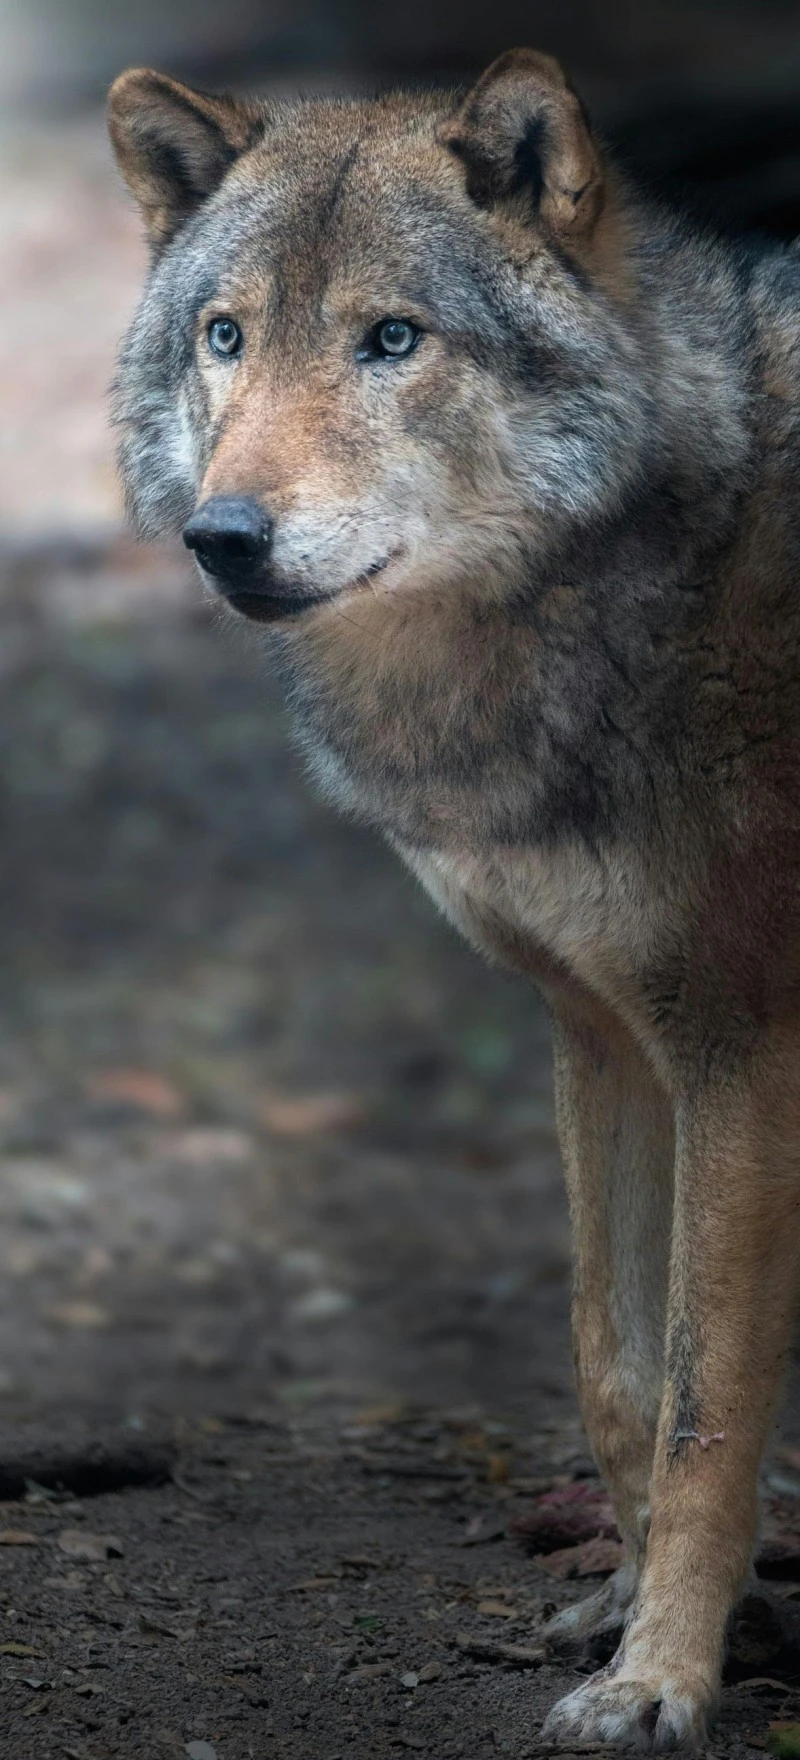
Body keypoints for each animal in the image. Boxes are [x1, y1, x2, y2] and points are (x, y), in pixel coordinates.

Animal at [108, 49, 800, 1751]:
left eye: (392, 339)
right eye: (228, 336)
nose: (224, 538)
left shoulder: (744, 1054)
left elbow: (708, 1403)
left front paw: (662, 1683)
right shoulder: (605, 1034)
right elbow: (616, 1370)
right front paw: (651, 1622)